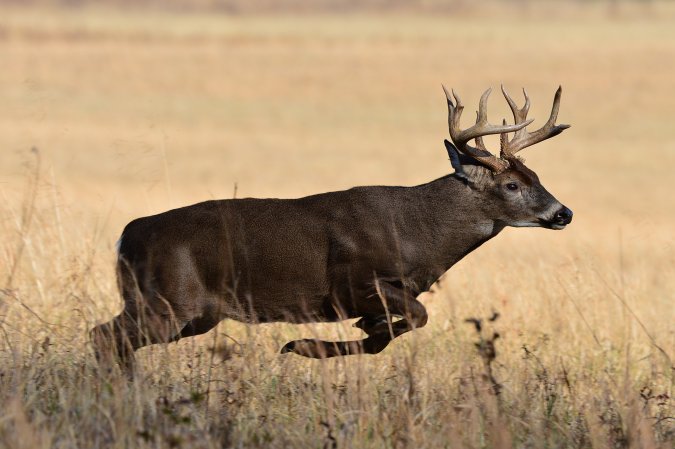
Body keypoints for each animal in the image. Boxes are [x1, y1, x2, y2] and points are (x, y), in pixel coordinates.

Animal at [92, 85, 572, 372]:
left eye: (536, 175)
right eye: (511, 185)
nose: (562, 213)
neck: (418, 235)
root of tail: (125, 236)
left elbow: (390, 332)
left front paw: (326, 341)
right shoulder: (352, 283)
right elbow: (417, 316)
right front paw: (304, 345)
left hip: (191, 313)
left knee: (111, 337)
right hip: (170, 300)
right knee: (104, 336)